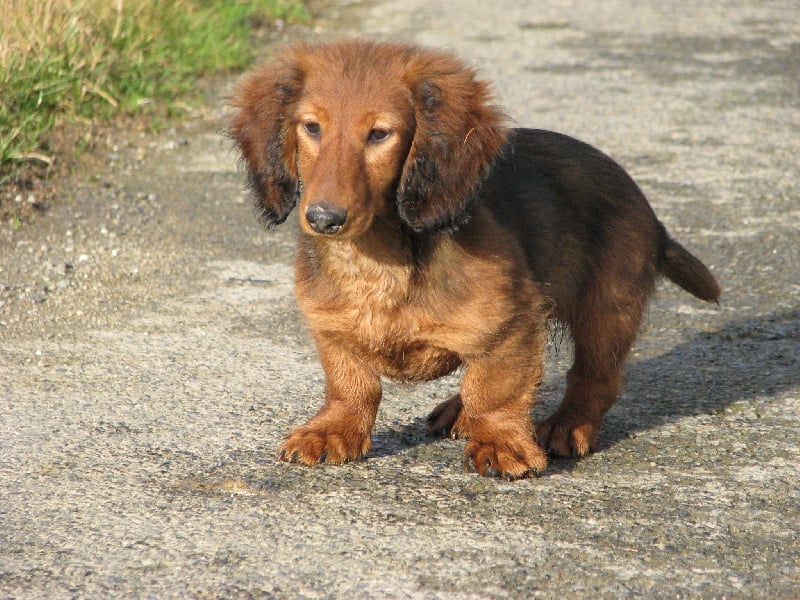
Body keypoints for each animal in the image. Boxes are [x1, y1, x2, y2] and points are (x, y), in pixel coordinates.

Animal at [227, 39, 720, 480]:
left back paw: (566, 426)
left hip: (607, 308)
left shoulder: (512, 324)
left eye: (379, 134)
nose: (323, 219)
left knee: (593, 377)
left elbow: (494, 391)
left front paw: (501, 444)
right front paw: (332, 431)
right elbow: (352, 385)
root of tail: (653, 217)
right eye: (311, 128)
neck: (379, 260)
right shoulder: (332, 326)